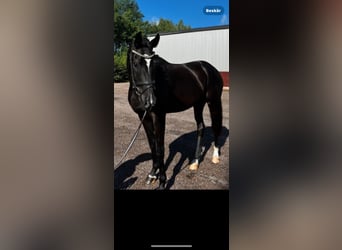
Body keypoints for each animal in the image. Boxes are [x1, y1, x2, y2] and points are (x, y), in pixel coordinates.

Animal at [127, 31, 223, 189]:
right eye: (136, 63)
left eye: (154, 65)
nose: (151, 102)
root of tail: (209, 68)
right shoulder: (143, 116)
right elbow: (152, 146)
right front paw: (152, 175)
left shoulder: (159, 116)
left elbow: (160, 149)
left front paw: (162, 182)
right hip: (198, 104)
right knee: (201, 127)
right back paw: (195, 162)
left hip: (213, 102)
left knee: (216, 126)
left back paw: (215, 157)